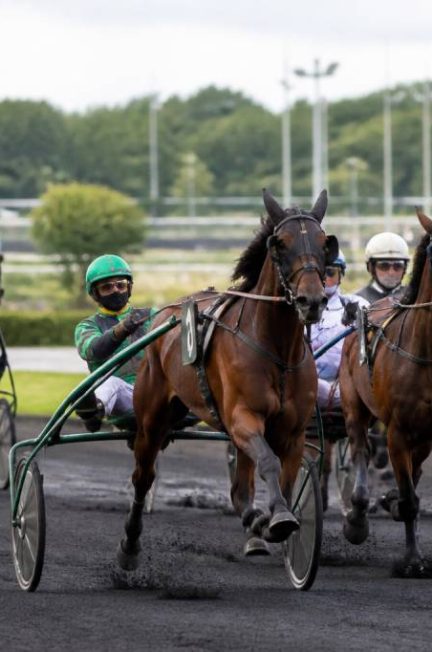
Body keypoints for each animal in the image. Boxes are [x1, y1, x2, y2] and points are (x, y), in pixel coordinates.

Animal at [117, 189, 339, 569]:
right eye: (280, 243)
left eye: (325, 243)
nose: (311, 300)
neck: (277, 350)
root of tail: (169, 311)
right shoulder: (242, 418)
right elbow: (268, 462)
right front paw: (277, 519)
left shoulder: (293, 431)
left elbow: (285, 479)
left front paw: (272, 521)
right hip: (152, 416)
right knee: (143, 475)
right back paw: (130, 546)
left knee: (240, 488)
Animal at [339, 207, 432, 577]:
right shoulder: (397, 431)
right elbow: (408, 501)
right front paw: (412, 561)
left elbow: (411, 489)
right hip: (353, 404)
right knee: (360, 448)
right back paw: (357, 516)